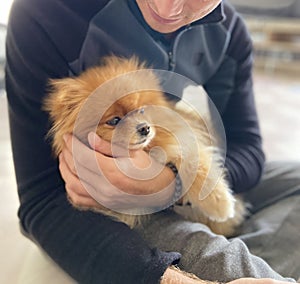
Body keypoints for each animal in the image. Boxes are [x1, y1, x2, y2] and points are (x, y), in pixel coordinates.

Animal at [44, 56, 246, 236]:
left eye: (141, 110)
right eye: (114, 121)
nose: (145, 128)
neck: (148, 150)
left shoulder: (184, 140)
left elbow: (196, 168)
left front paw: (222, 206)